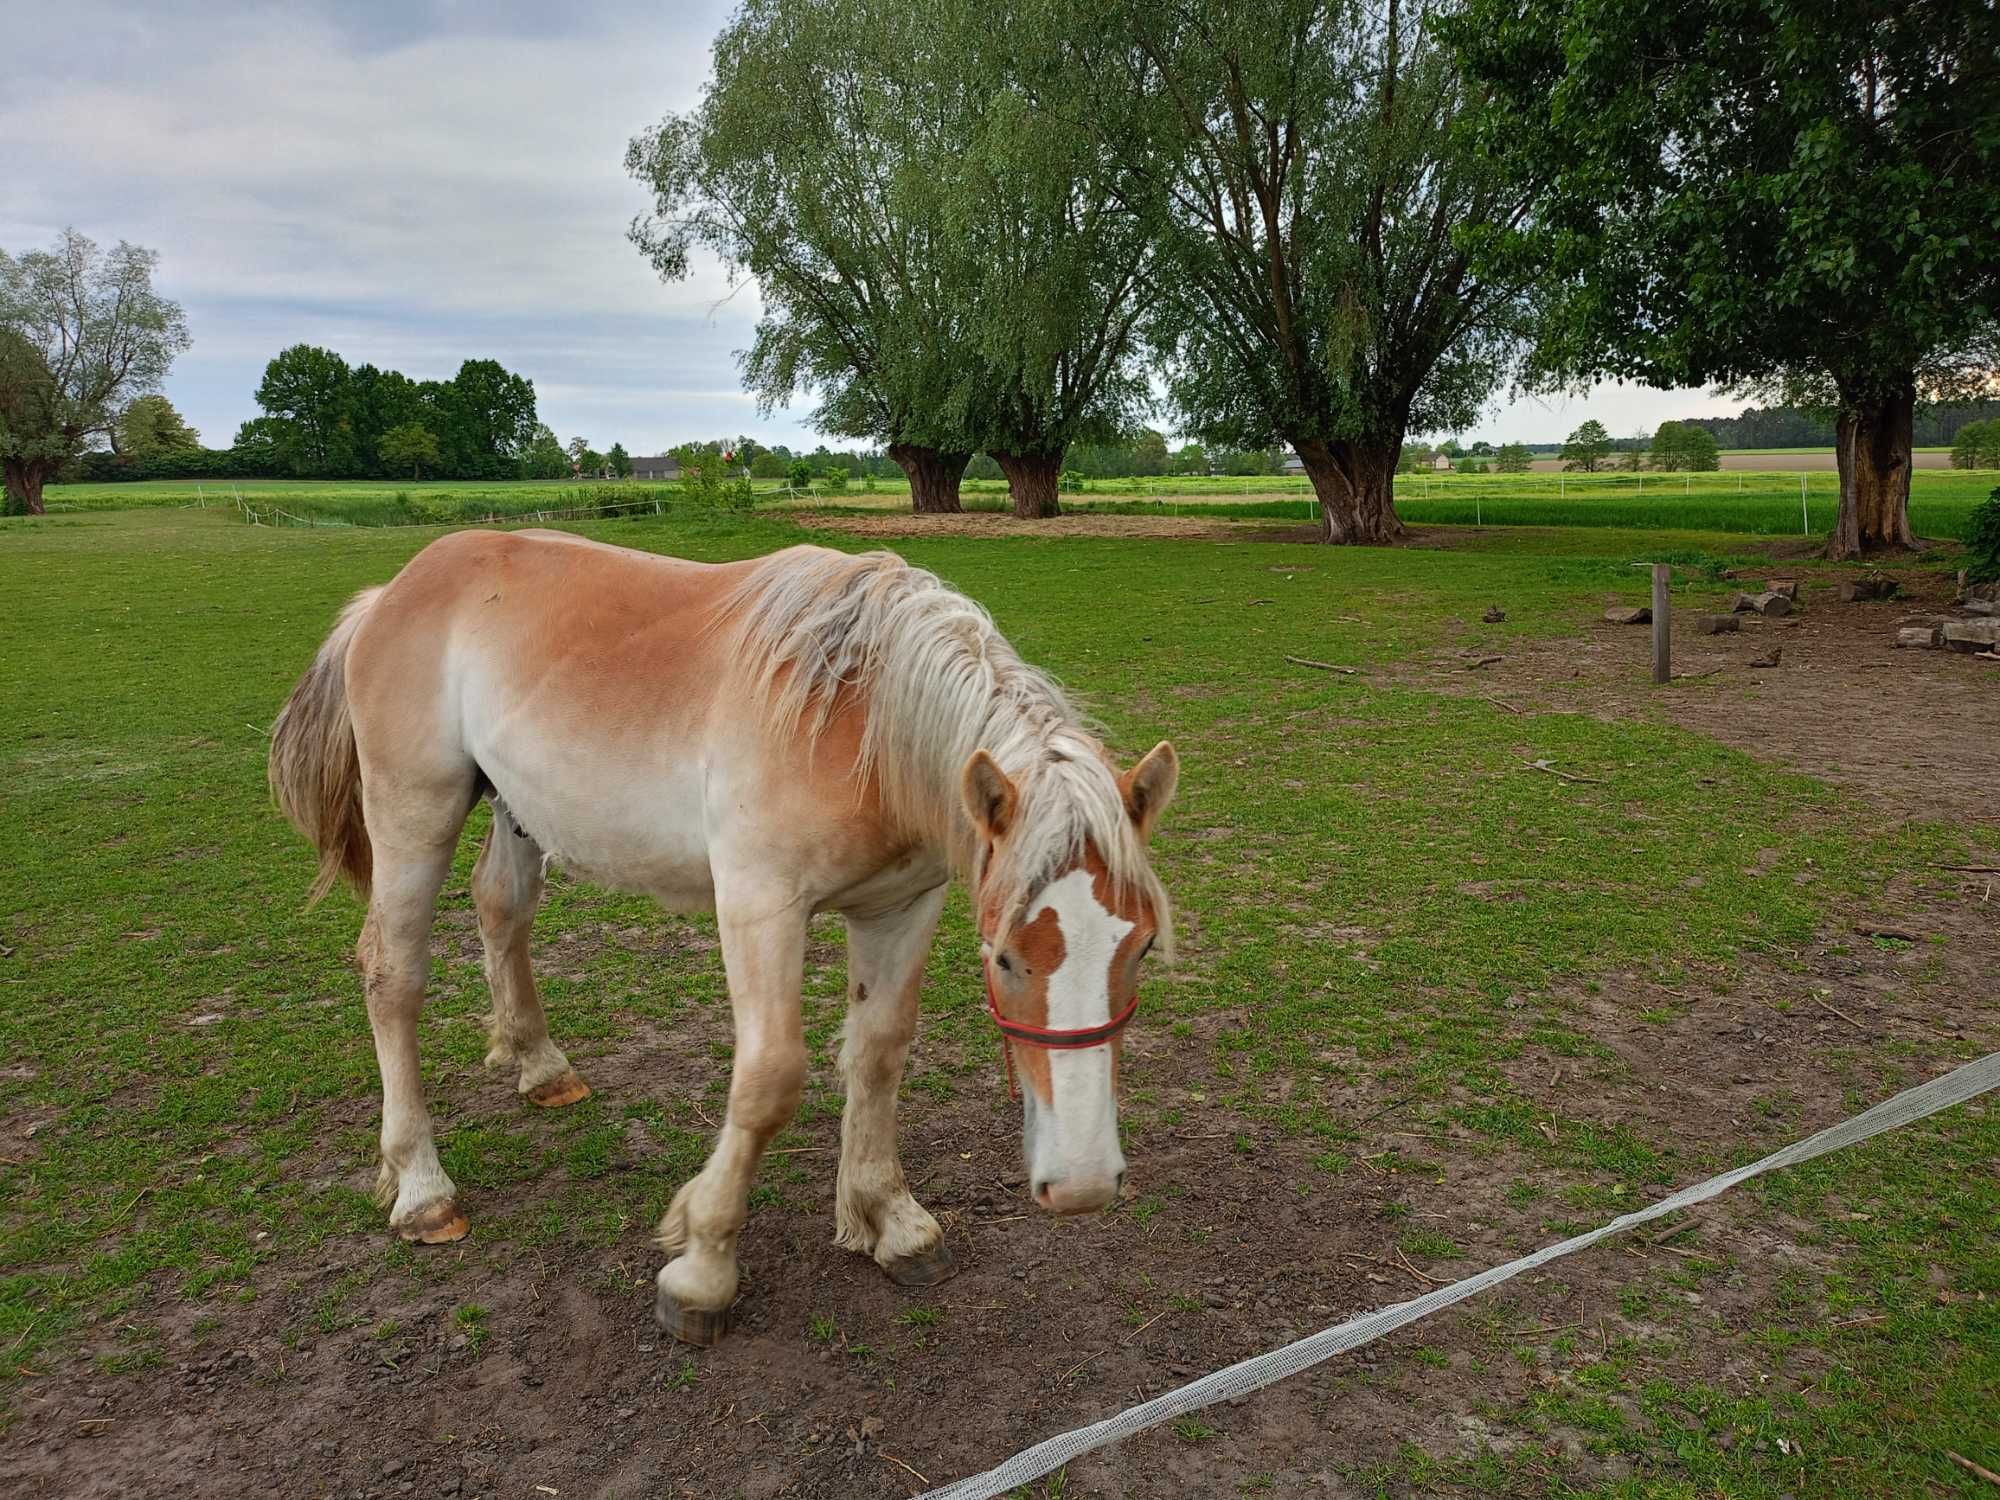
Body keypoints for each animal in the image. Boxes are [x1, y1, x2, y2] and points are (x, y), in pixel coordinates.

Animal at [264, 532, 1168, 1352]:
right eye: (1006, 956)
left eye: (1142, 948)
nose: (1084, 1185)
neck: (859, 721)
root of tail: (392, 591)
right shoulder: (759, 905)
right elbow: (769, 1081)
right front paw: (702, 1272)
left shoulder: (903, 906)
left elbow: (879, 1054)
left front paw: (891, 1220)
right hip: (414, 812)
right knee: (393, 975)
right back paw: (423, 1189)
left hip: (516, 811)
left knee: (501, 912)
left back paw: (541, 1065)